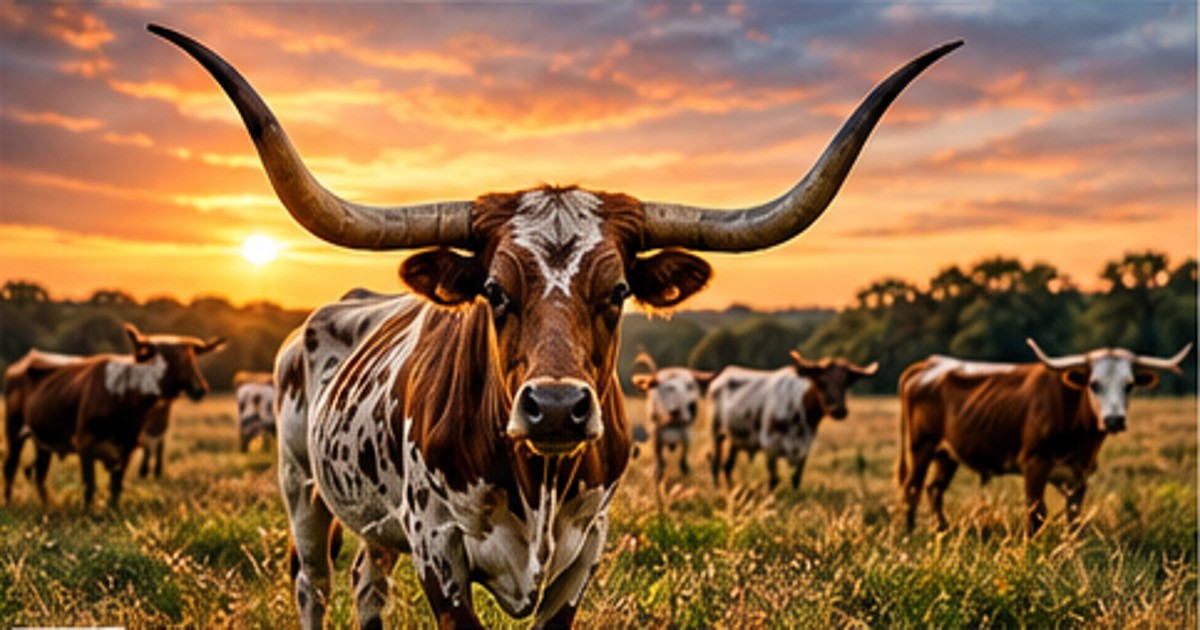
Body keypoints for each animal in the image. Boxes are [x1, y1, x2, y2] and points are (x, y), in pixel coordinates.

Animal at [3, 324, 224, 509]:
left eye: (193, 358)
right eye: (174, 360)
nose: (200, 388)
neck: (126, 395)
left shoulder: (128, 446)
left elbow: (116, 486)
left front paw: (112, 511)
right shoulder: (86, 443)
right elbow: (90, 485)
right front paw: (88, 513)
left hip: (43, 440)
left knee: (40, 473)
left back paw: (48, 505)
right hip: (14, 431)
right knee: (10, 467)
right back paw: (9, 503)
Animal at [629, 352, 714, 481]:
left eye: (690, 386)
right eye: (667, 388)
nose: (690, 406)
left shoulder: (687, 432)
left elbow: (684, 455)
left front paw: (686, 471)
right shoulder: (656, 433)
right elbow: (659, 458)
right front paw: (657, 476)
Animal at [709, 351, 878, 489]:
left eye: (846, 384)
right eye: (821, 383)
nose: (839, 410)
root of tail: (724, 374)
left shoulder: (805, 447)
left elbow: (796, 479)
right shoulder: (770, 444)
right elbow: (773, 479)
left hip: (736, 437)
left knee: (728, 466)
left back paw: (731, 490)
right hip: (716, 431)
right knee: (716, 463)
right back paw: (718, 489)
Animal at [897, 338, 1192, 535]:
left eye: (1129, 386)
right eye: (1094, 384)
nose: (1114, 420)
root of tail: (929, 364)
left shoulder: (1080, 473)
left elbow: (1074, 518)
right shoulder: (1035, 463)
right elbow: (1037, 512)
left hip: (947, 454)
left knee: (935, 489)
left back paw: (942, 529)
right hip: (921, 446)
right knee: (912, 488)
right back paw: (909, 534)